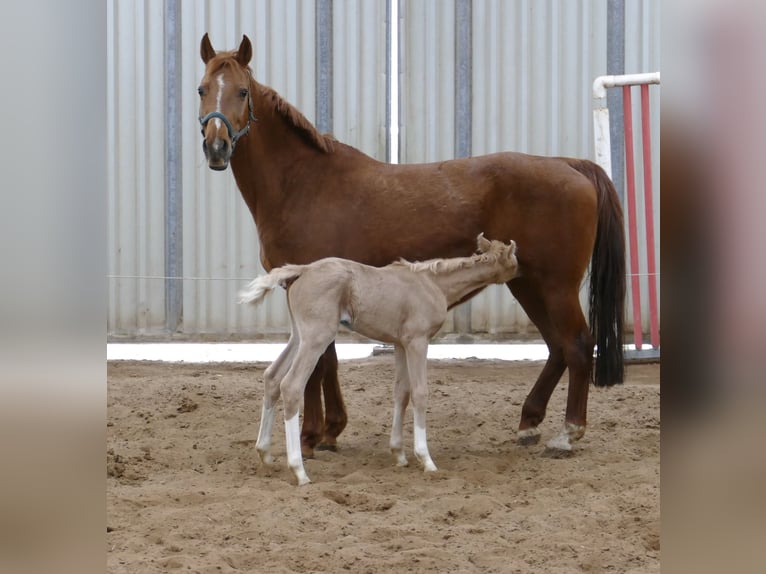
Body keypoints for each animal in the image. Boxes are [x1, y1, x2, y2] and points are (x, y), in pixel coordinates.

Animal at [240, 234, 520, 486]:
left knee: (272, 377)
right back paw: (299, 471)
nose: (519, 274)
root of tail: (303, 269)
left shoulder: (399, 343)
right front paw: (426, 459)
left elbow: (401, 392)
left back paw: (265, 455)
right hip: (316, 337)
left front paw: (399, 454)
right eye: (514, 259)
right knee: (291, 385)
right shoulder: (418, 341)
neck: (433, 283)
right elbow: (420, 393)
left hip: (299, 336)